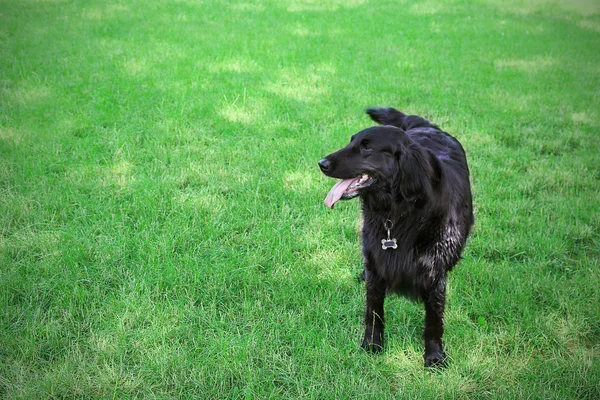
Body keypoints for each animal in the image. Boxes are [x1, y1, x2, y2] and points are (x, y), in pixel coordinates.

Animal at [318, 108, 474, 368]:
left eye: (367, 147)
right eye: (351, 142)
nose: (322, 163)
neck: (397, 212)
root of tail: (427, 126)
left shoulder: (435, 271)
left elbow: (434, 320)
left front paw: (434, 355)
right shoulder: (376, 261)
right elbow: (374, 311)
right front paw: (372, 344)